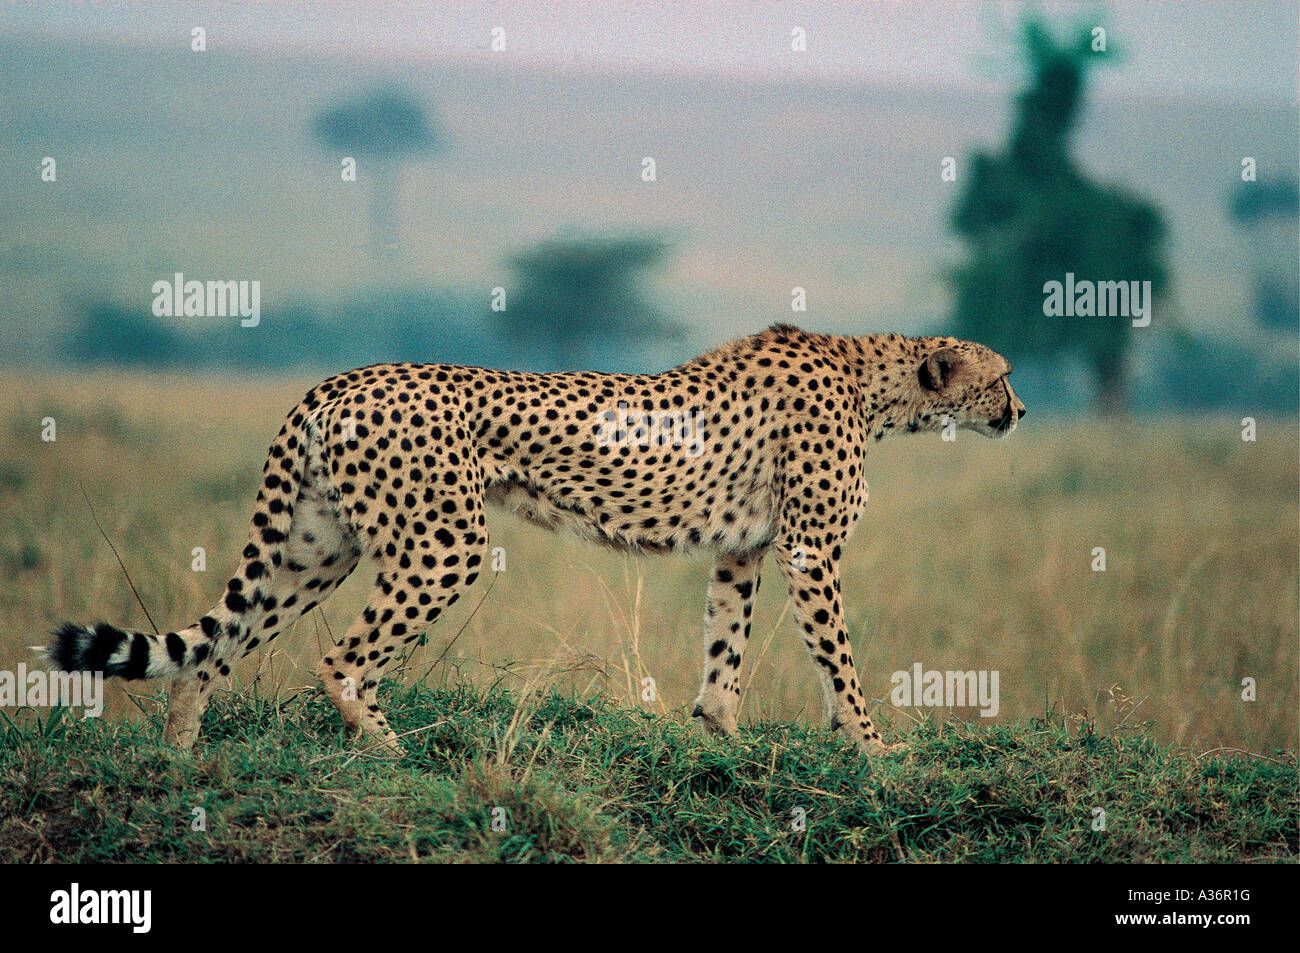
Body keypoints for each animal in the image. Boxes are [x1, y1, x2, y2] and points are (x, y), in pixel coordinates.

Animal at [43, 323, 1024, 754]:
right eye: (1005, 374)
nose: (1020, 410)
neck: (872, 378)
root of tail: (338, 378)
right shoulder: (808, 550)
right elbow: (840, 658)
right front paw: (877, 750)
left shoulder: (742, 547)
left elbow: (725, 647)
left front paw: (724, 736)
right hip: (444, 540)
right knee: (341, 657)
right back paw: (389, 753)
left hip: (319, 544)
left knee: (217, 645)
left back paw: (181, 758)